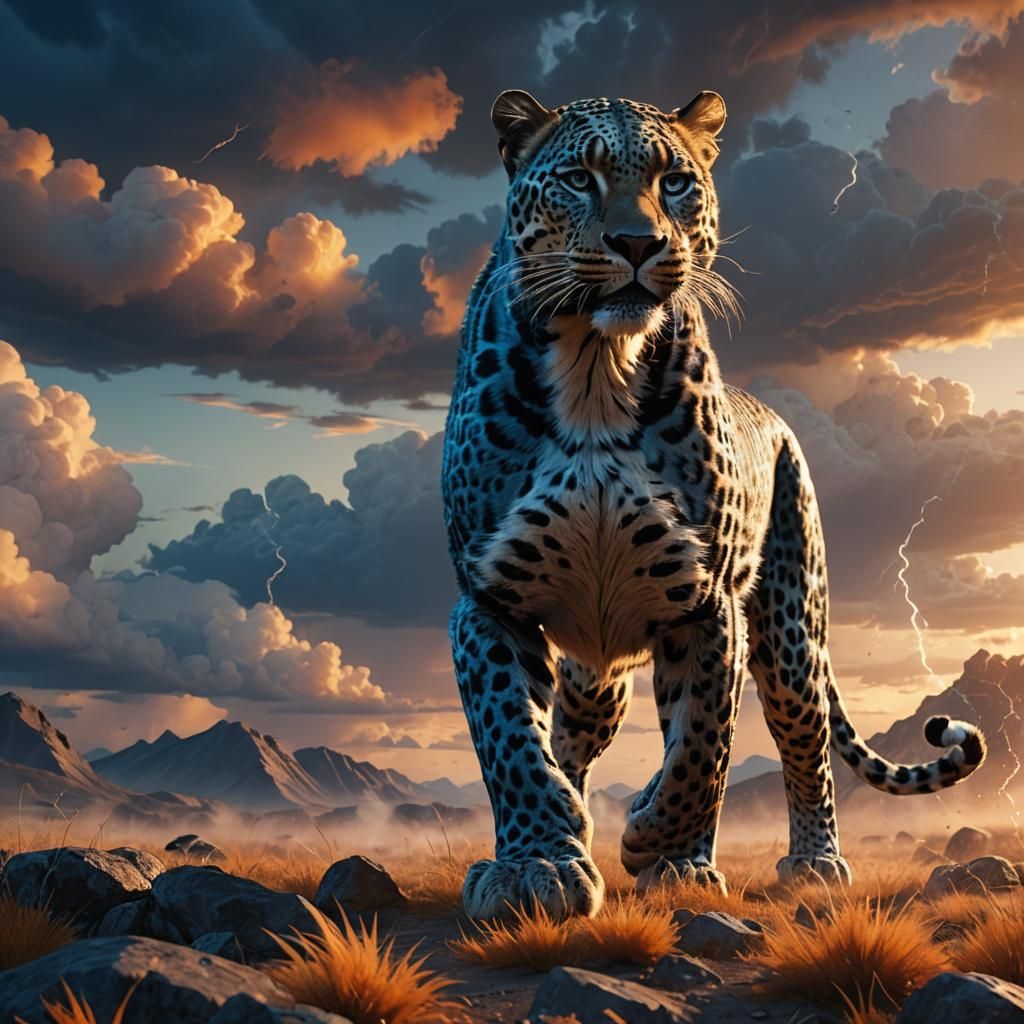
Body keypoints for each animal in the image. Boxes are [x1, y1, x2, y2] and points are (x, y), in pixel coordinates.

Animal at [441, 88, 987, 920]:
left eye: (674, 182)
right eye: (576, 178)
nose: (637, 242)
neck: (598, 365)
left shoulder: (705, 603)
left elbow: (703, 745)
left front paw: (665, 850)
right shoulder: (490, 597)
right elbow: (511, 740)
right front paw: (539, 861)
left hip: (792, 630)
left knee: (804, 741)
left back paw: (815, 863)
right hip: (595, 672)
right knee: (569, 737)